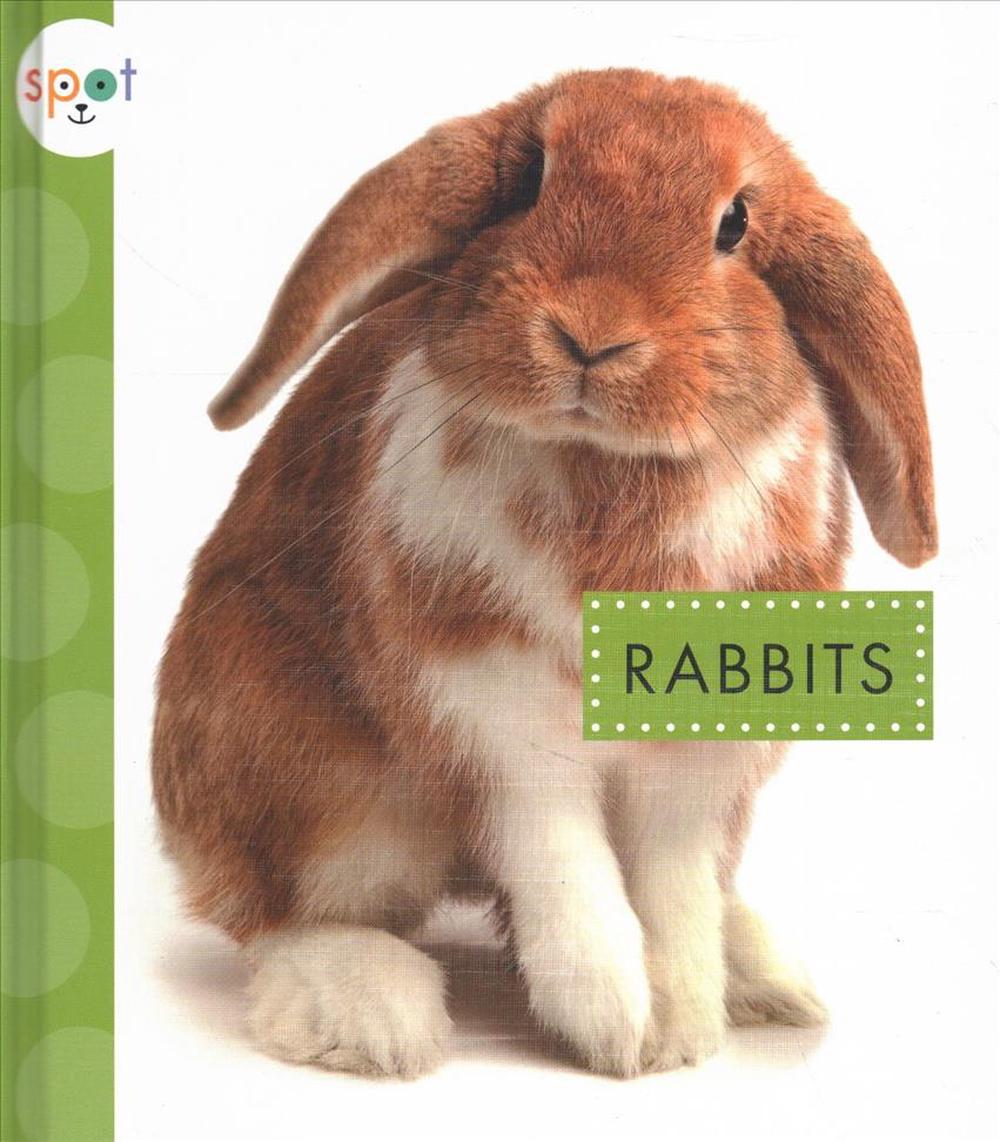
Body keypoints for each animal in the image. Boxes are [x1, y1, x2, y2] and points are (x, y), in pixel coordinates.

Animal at [153, 68, 936, 1079]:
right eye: (529, 180)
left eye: (734, 225)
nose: (591, 334)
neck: (602, 464)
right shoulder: (497, 720)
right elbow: (566, 865)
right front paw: (618, 1024)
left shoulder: (700, 762)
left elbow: (673, 890)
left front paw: (680, 1030)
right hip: (321, 782)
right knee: (282, 916)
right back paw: (372, 1011)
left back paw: (766, 977)